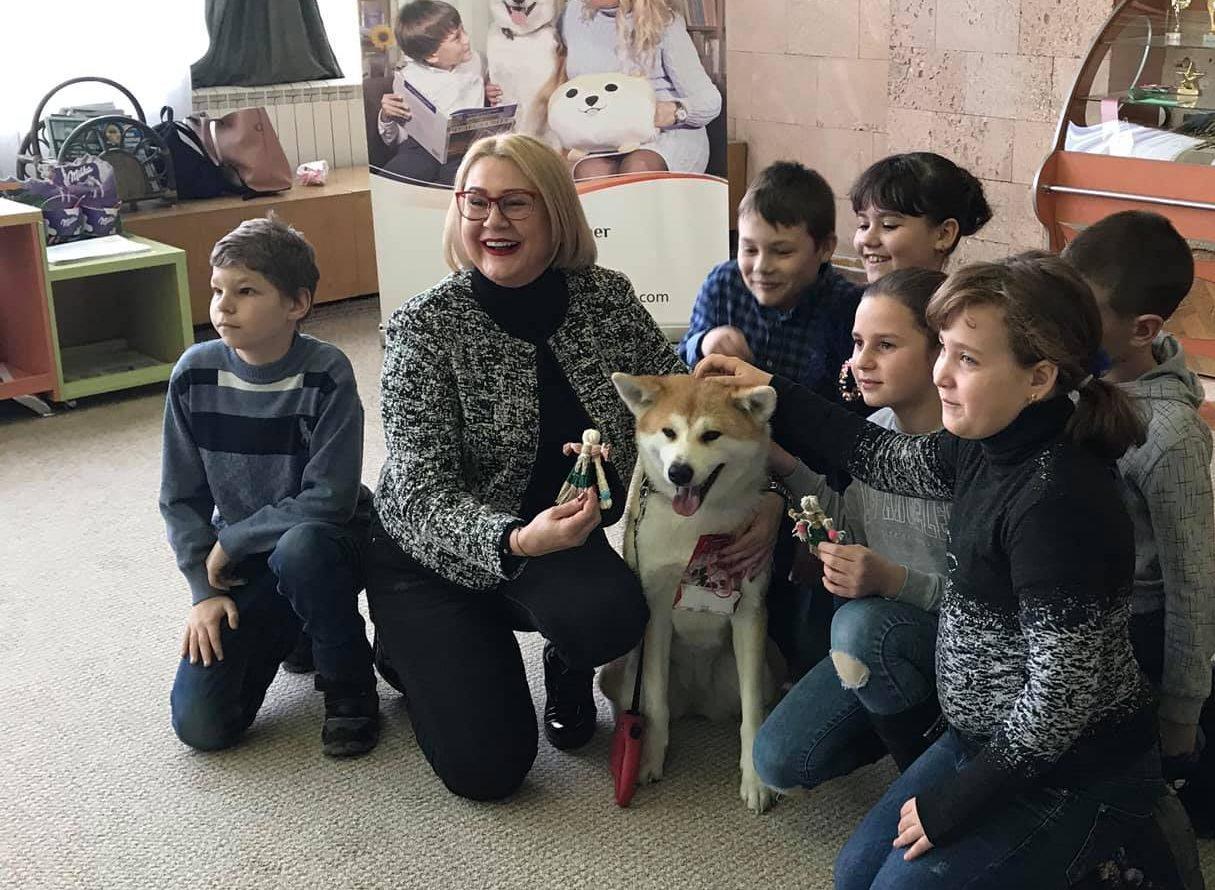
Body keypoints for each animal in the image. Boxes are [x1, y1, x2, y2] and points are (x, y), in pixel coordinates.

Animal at [605, 369, 777, 811]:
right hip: (623, 675)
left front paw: (755, 779)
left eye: (711, 435)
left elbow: (753, 715)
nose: (679, 473)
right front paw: (648, 758)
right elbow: (655, 704)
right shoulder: (655, 608)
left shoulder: (749, 610)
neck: (696, 527)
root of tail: (701, 703)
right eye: (668, 432)